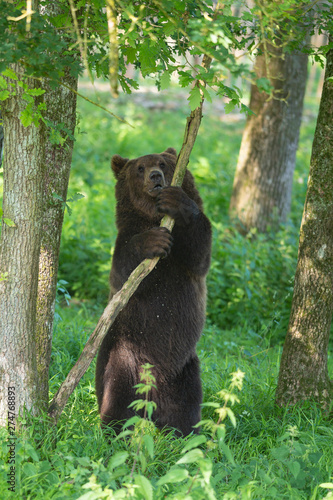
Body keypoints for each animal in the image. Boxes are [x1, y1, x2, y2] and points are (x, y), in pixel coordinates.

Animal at [94, 146, 211, 436]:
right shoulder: (126, 236)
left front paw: (177, 201)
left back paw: (186, 434)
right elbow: (122, 270)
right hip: (123, 356)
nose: (155, 176)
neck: (153, 216)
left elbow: (199, 252)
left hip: (184, 369)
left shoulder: (187, 254)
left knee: (187, 407)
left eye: (162, 163)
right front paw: (152, 241)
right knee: (118, 400)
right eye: (139, 168)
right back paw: (113, 430)